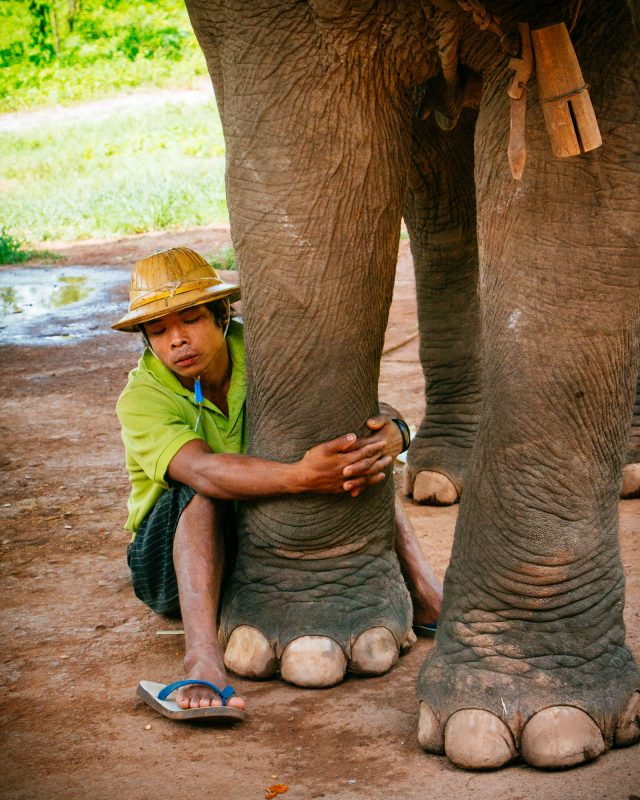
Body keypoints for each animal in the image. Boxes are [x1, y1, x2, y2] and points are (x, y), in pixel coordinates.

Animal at [182, 1, 636, 776]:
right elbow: (306, 178)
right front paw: (307, 650)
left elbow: (580, 212)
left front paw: (542, 726)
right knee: (442, 200)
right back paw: (439, 482)